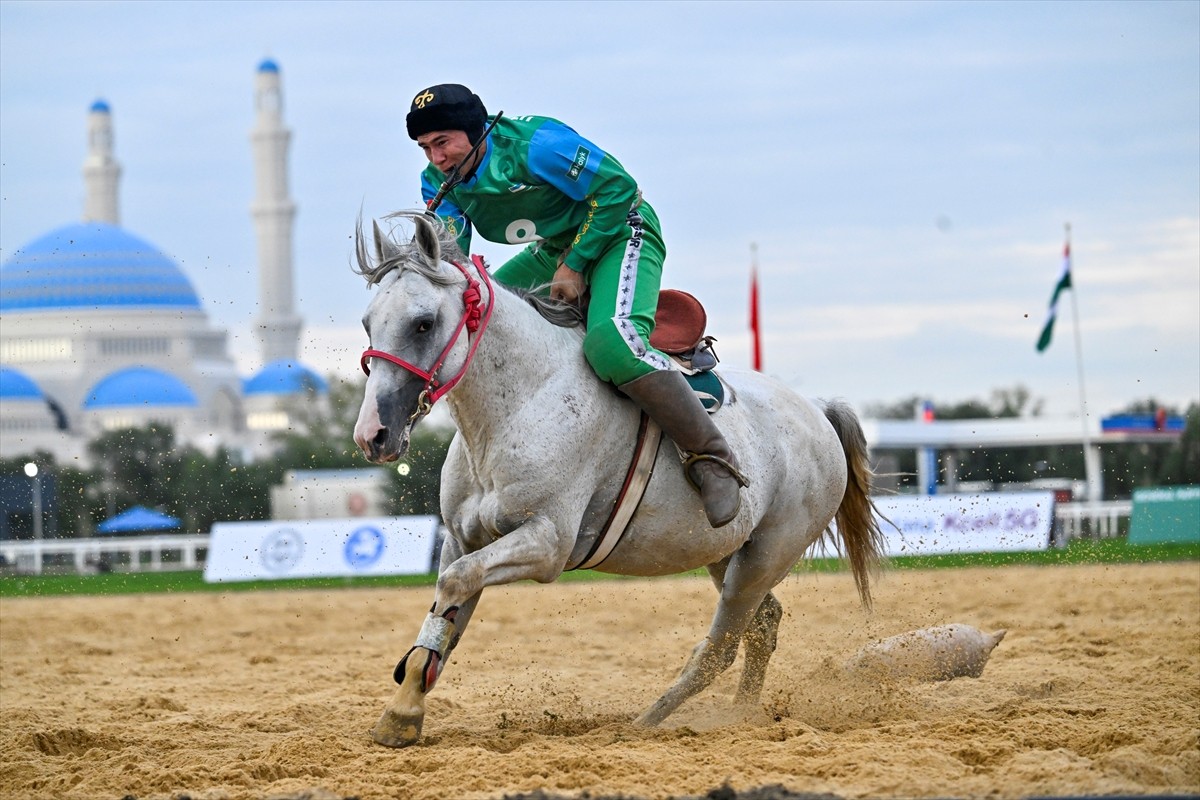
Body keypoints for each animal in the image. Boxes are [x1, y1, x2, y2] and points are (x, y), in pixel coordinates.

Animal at [350, 212, 888, 753]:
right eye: (368, 321)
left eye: (423, 322)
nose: (372, 434)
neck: (523, 402)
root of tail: (816, 411)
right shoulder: (463, 539)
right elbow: (447, 611)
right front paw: (404, 709)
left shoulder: (547, 542)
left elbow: (456, 582)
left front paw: (403, 710)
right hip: (728, 554)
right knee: (763, 626)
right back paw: (741, 716)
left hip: (765, 557)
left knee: (722, 647)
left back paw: (648, 723)